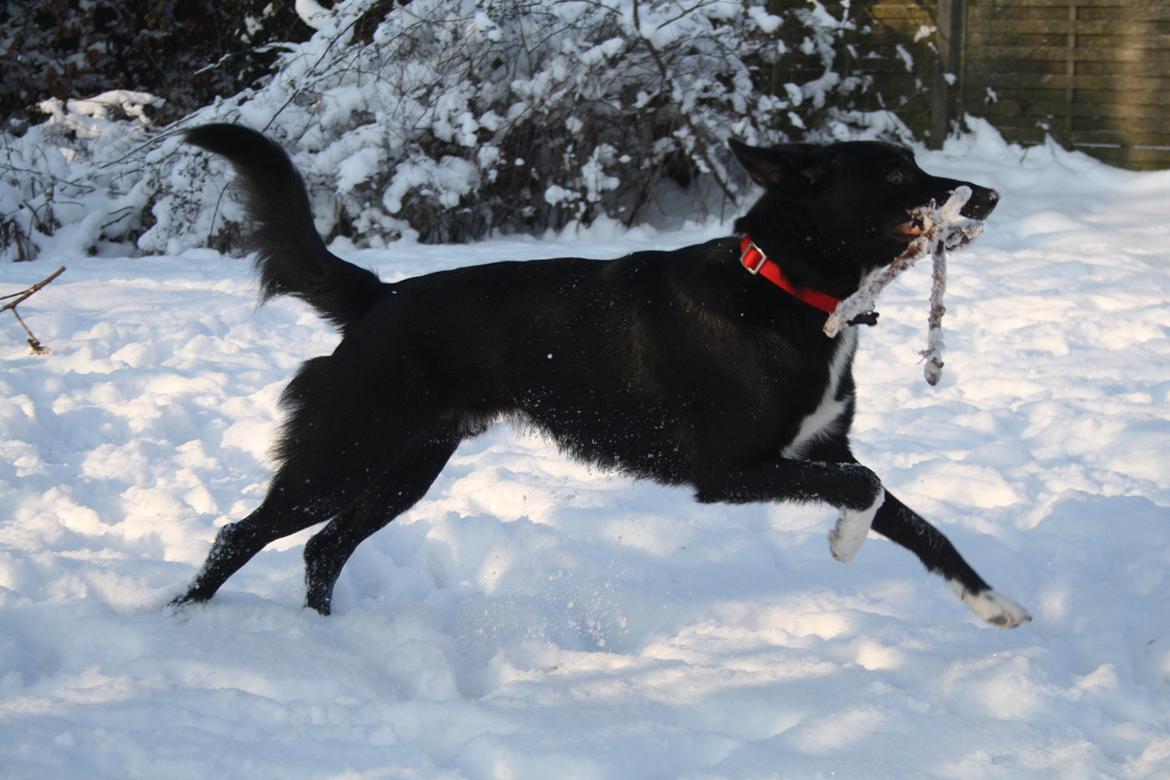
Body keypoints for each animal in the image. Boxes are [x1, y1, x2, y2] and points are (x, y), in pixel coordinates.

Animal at [169, 126, 1029, 626]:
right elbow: (866, 488)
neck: (784, 290)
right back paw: (180, 622)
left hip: (405, 467)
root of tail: (379, 297)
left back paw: (322, 636)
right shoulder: (730, 471)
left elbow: (912, 517)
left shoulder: (819, 449)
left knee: (323, 549)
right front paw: (845, 543)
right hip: (344, 452)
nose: (988, 194)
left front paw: (993, 602)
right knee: (241, 533)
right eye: (895, 176)